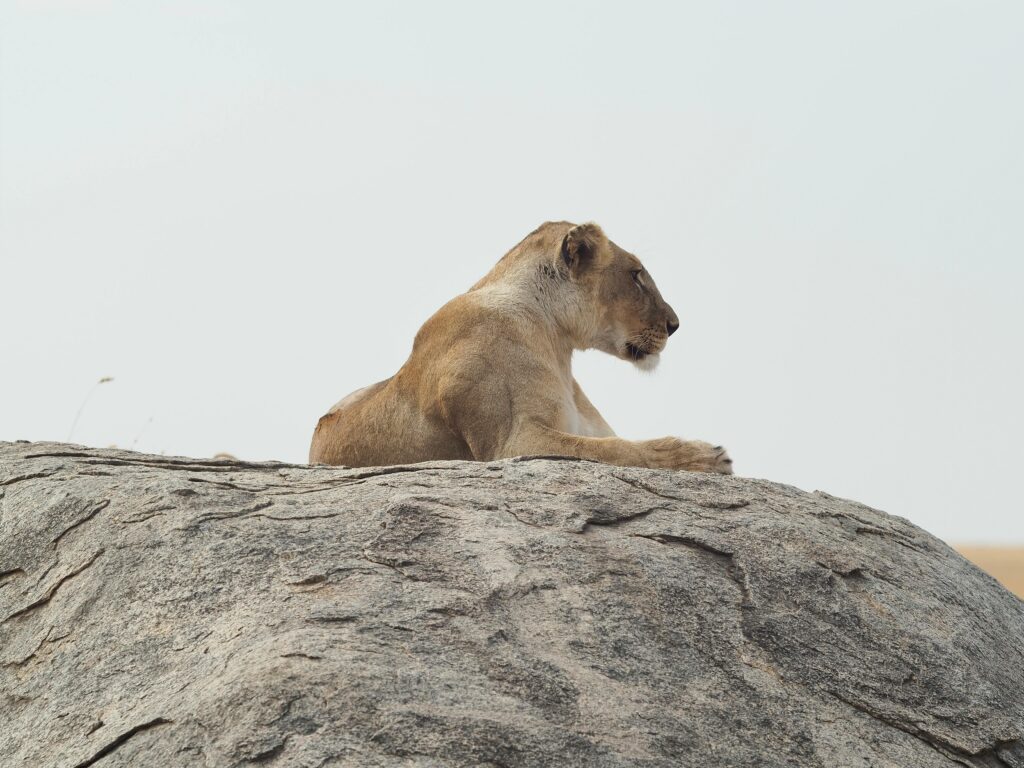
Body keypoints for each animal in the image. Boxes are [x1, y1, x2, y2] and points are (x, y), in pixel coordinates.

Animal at [309, 221, 732, 474]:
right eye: (636, 275)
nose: (675, 325)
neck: (557, 341)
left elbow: (612, 443)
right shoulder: (509, 444)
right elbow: (616, 450)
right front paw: (701, 456)